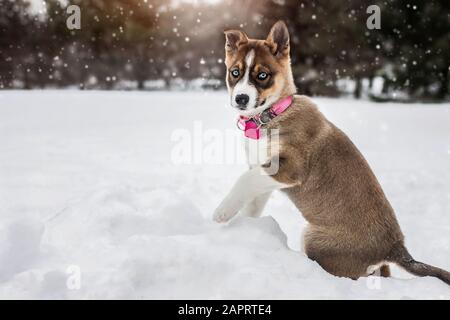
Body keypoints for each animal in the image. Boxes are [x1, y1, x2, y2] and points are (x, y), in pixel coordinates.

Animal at [214, 20, 450, 284]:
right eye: (235, 72)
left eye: (262, 75)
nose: (241, 99)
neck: (273, 115)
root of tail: (395, 248)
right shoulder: (263, 175)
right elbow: (252, 203)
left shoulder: (290, 168)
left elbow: (244, 180)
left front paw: (221, 212)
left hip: (315, 239)